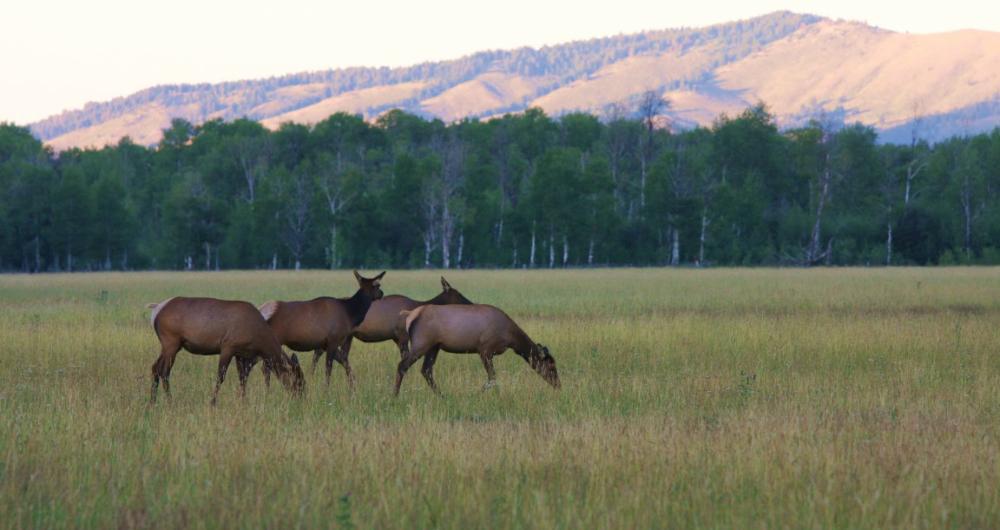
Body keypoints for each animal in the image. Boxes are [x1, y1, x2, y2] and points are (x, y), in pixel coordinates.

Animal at [146, 294, 304, 402]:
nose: (299, 399)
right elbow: (220, 377)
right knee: (164, 371)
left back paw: (153, 402)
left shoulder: (241, 354)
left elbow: (243, 378)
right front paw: (213, 403)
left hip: (171, 345)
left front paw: (243, 401)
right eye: (298, 381)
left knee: (155, 367)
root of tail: (155, 311)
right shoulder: (228, 346)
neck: (259, 338)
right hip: (171, 342)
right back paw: (169, 401)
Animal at [392, 304, 564, 394]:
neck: (510, 338)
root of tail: (410, 314)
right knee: (402, 365)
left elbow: (492, 377)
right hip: (421, 343)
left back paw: (442, 395)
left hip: (434, 346)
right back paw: (395, 395)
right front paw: (484, 392)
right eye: (551, 365)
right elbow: (492, 377)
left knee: (426, 370)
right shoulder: (485, 349)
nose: (558, 385)